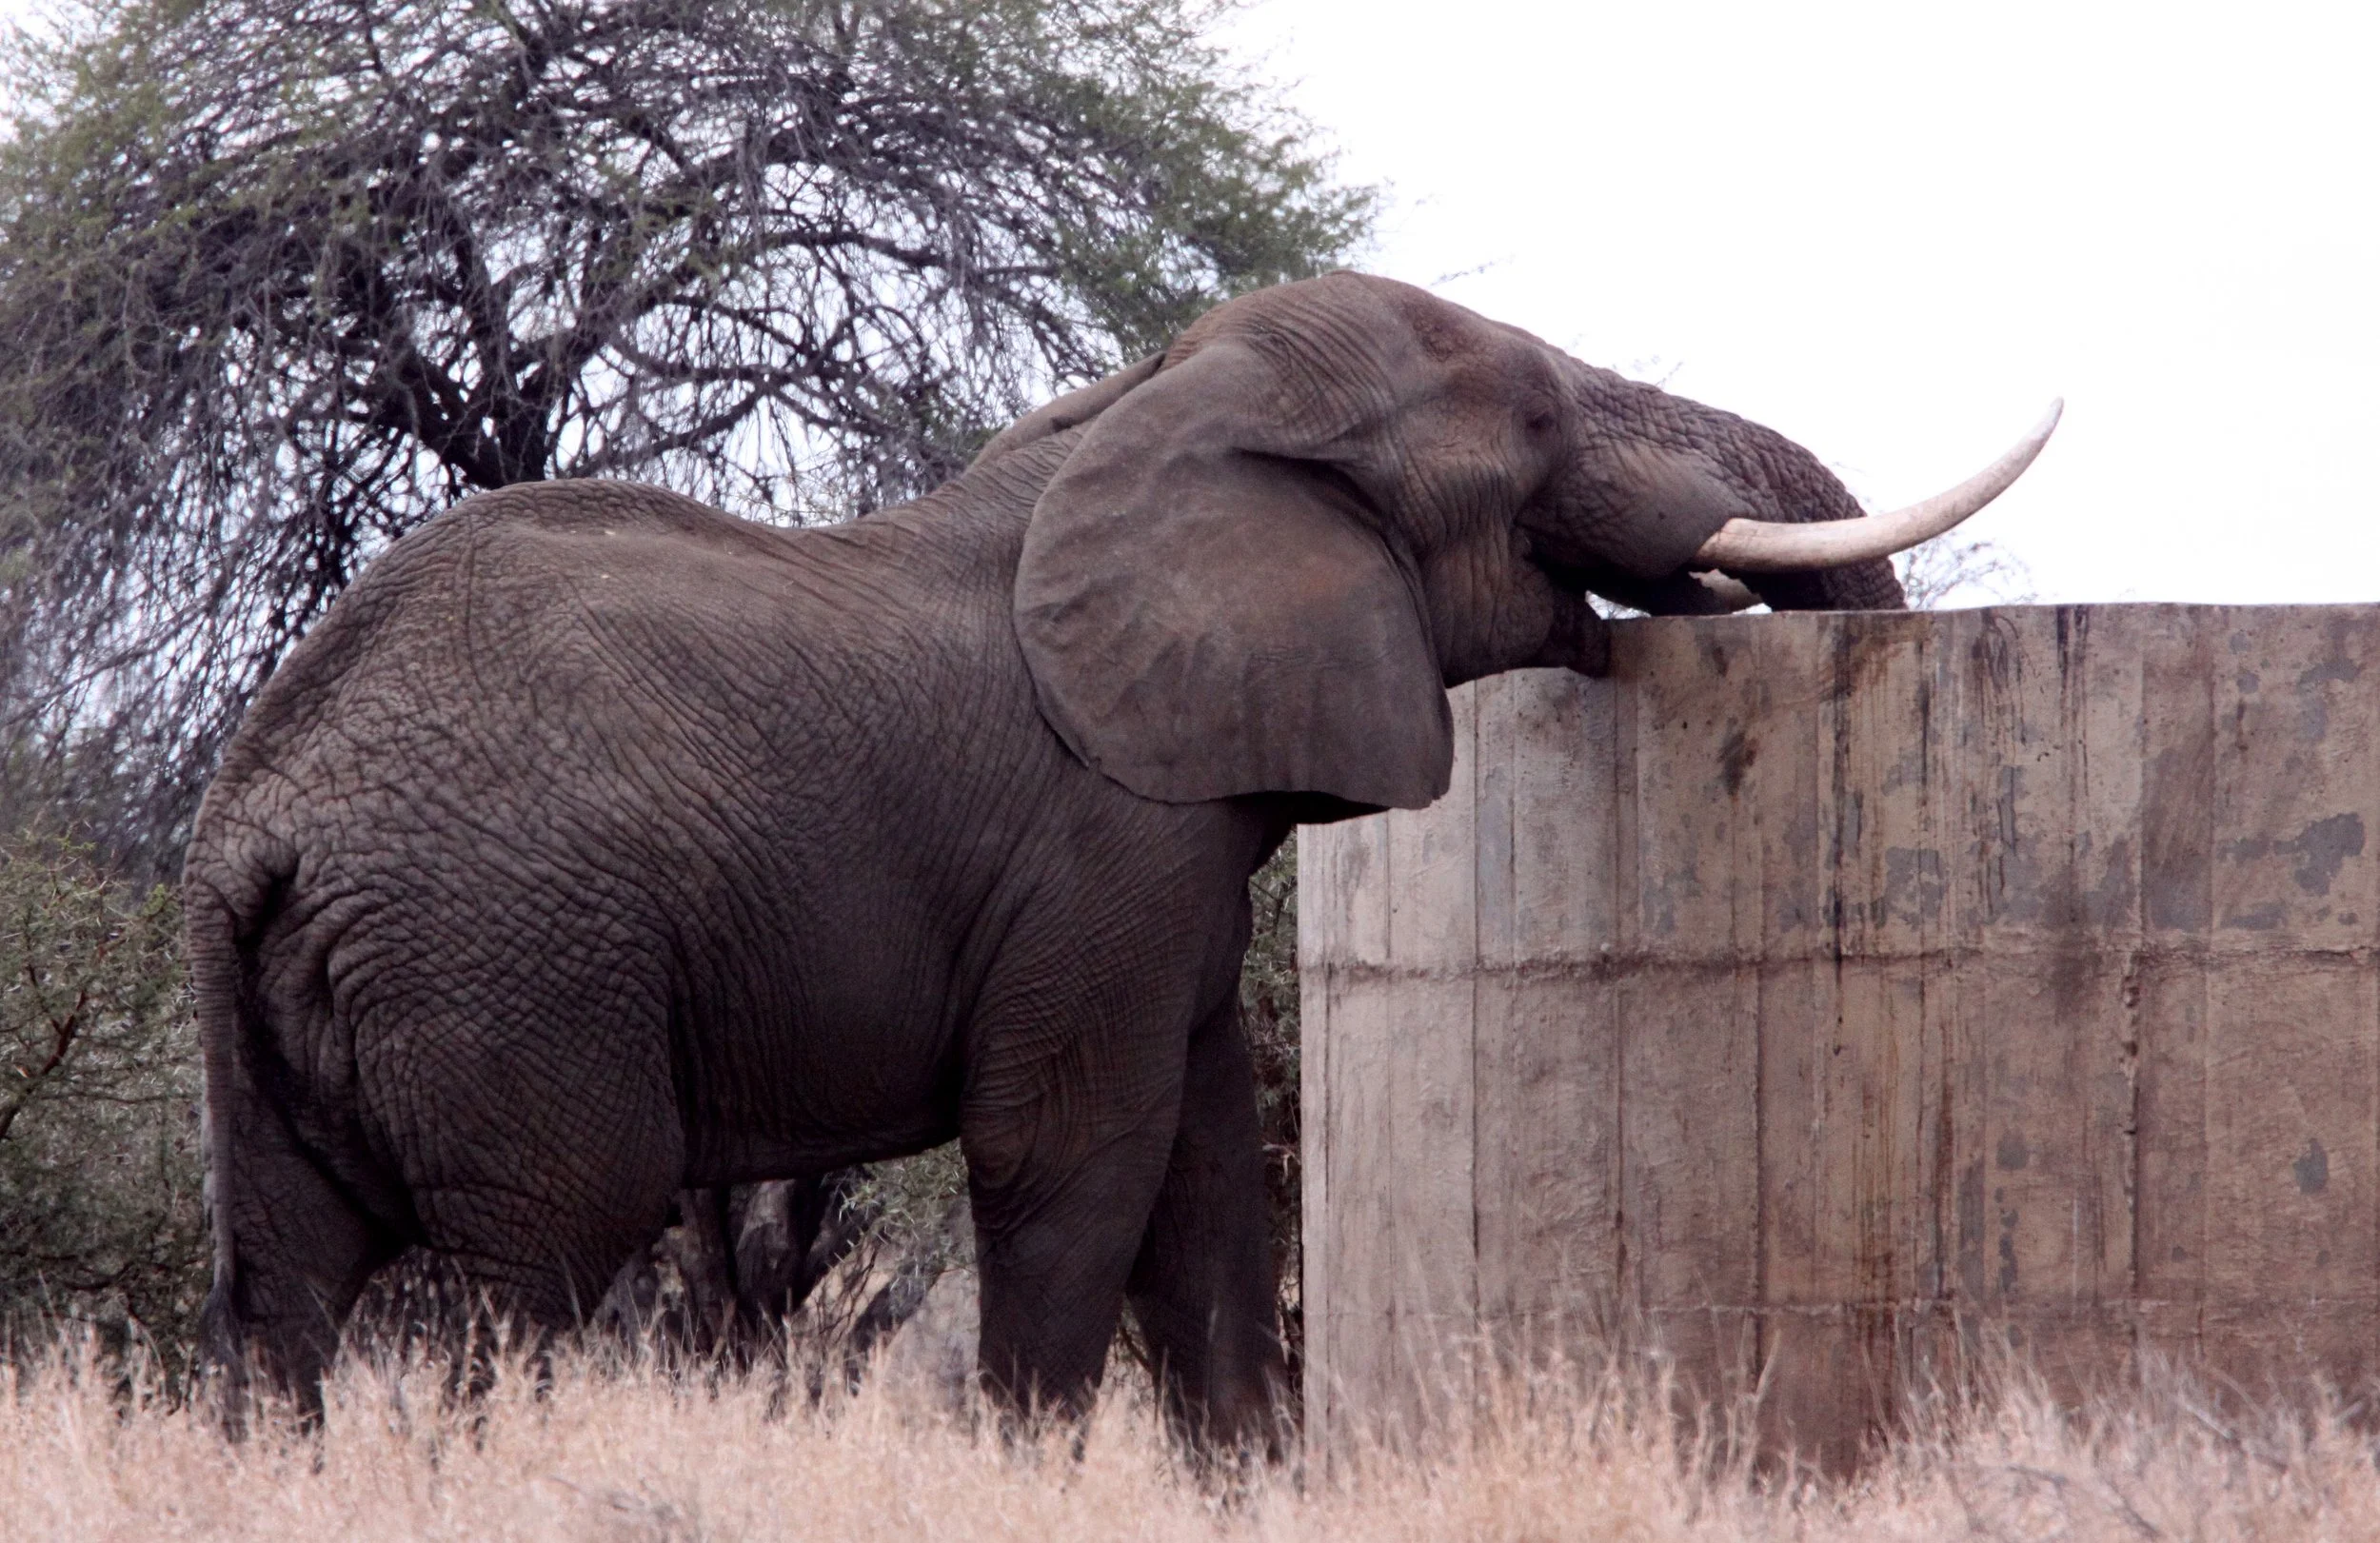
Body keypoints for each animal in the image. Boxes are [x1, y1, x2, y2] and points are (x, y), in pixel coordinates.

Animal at [184, 270, 2055, 1443]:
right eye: (1532, 427)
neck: (1150, 402)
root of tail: (258, 817)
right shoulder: (1107, 842)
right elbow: (1075, 1156)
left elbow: (1209, 1181)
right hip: (507, 965)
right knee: (541, 1263)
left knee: (280, 1286)